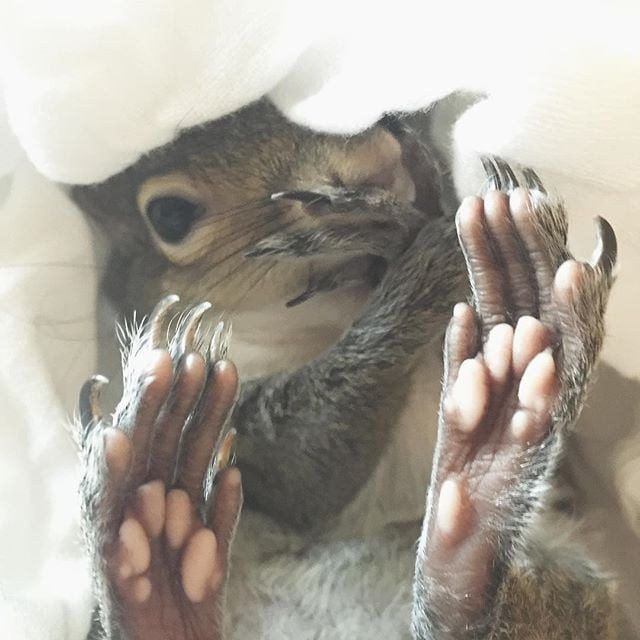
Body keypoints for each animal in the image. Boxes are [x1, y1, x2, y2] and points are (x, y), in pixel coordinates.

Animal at [70, 99, 623, 639]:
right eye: (168, 214)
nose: (375, 157)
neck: (332, 312)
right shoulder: (244, 429)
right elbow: (306, 471)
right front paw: (411, 260)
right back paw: (155, 512)